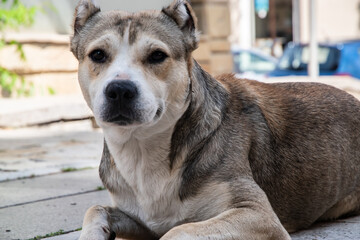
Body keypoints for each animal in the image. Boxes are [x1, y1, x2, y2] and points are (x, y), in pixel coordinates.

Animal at [70, 0, 360, 238]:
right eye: (98, 54)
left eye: (157, 55)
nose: (120, 90)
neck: (143, 147)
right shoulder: (141, 219)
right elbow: (95, 209)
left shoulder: (257, 215)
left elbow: (180, 230)